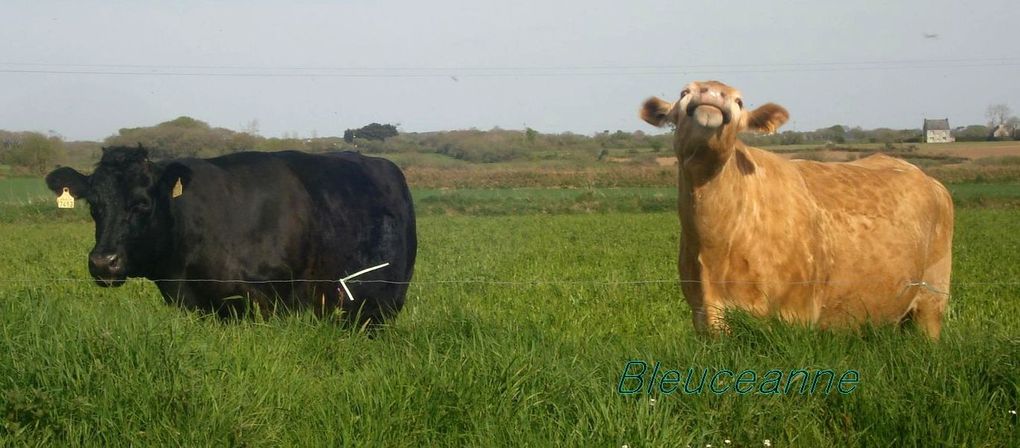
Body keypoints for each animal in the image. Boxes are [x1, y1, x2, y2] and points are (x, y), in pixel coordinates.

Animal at [45, 146, 416, 326]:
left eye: (142, 204)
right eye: (94, 204)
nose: (103, 262)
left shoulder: (268, 303)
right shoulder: (192, 304)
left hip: (384, 303)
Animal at [640, 81, 950, 340]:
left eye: (739, 101)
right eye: (684, 92)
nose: (713, 93)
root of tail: (928, 178)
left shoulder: (796, 313)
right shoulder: (704, 315)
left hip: (933, 296)